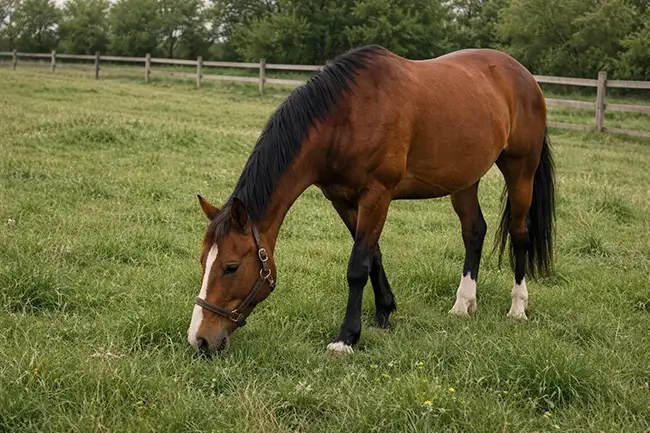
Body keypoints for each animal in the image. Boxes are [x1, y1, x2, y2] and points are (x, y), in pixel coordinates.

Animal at [187, 45, 555, 354]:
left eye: (231, 267)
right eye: (204, 261)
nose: (200, 339)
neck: (345, 117)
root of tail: (523, 75)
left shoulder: (377, 195)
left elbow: (357, 266)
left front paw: (346, 338)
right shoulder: (343, 200)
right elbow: (373, 255)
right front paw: (384, 313)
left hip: (521, 170)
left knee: (520, 235)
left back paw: (517, 307)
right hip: (465, 179)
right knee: (474, 232)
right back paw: (463, 304)